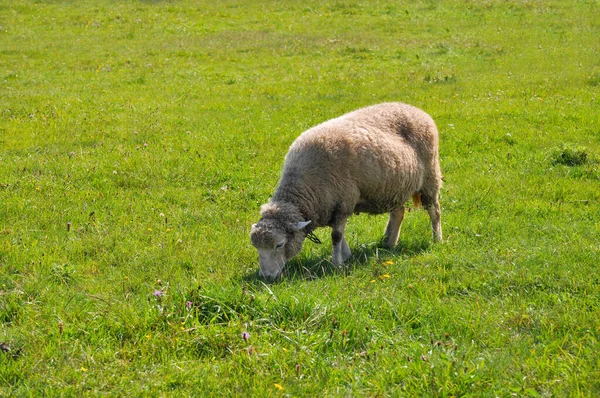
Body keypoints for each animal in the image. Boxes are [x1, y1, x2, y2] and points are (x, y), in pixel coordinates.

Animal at [248, 102, 440, 280]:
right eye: (256, 247)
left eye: (279, 245)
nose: (266, 277)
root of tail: (415, 109)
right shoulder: (331, 205)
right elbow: (339, 234)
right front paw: (346, 255)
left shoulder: (344, 201)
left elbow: (336, 235)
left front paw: (336, 264)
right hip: (393, 187)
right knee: (398, 213)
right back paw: (390, 244)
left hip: (430, 175)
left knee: (434, 211)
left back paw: (437, 240)